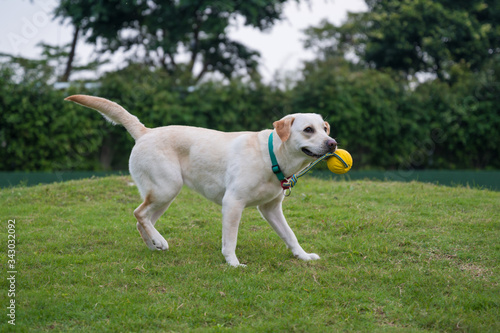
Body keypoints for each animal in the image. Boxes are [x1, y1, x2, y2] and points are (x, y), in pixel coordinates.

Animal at [63, 94, 336, 266]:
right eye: (308, 130)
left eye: (324, 128)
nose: (332, 143)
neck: (270, 155)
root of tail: (145, 132)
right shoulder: (232, 203)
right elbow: (230, 241)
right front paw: (233, 263)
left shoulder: (271, 209)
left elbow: (290, 235)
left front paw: (303, 256)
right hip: (167, 188)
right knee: (138, 213)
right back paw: (159, 240)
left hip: (163, 196)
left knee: (142, 220)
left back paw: (154, 243)